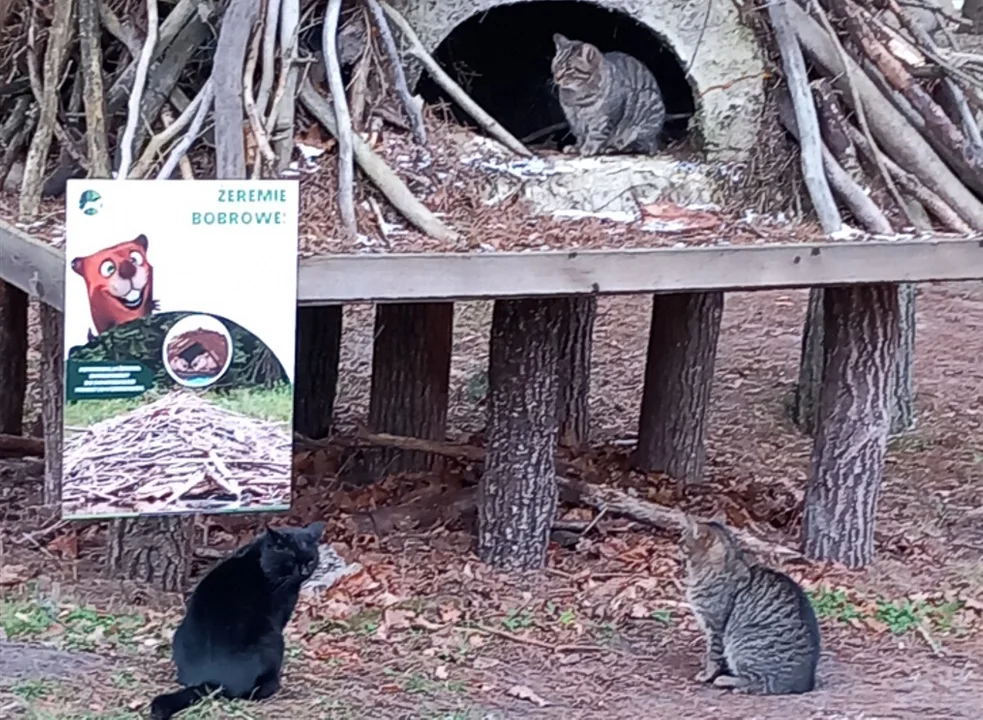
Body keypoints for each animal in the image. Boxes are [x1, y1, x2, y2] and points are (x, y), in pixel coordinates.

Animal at [150, 520, 326, 716]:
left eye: (310, 560)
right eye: (291, 560)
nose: (304, 571)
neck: (262, 562)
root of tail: (212, 681)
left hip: (178, 635)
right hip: (273, 639)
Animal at [680, 520, 820, 696]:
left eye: (682, 541)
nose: (677, 545)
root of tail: (804, 683)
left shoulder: (715, 626)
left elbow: (713, 655)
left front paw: (707, 674)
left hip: (741, 644)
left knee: (759, 682)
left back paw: (726, 681)